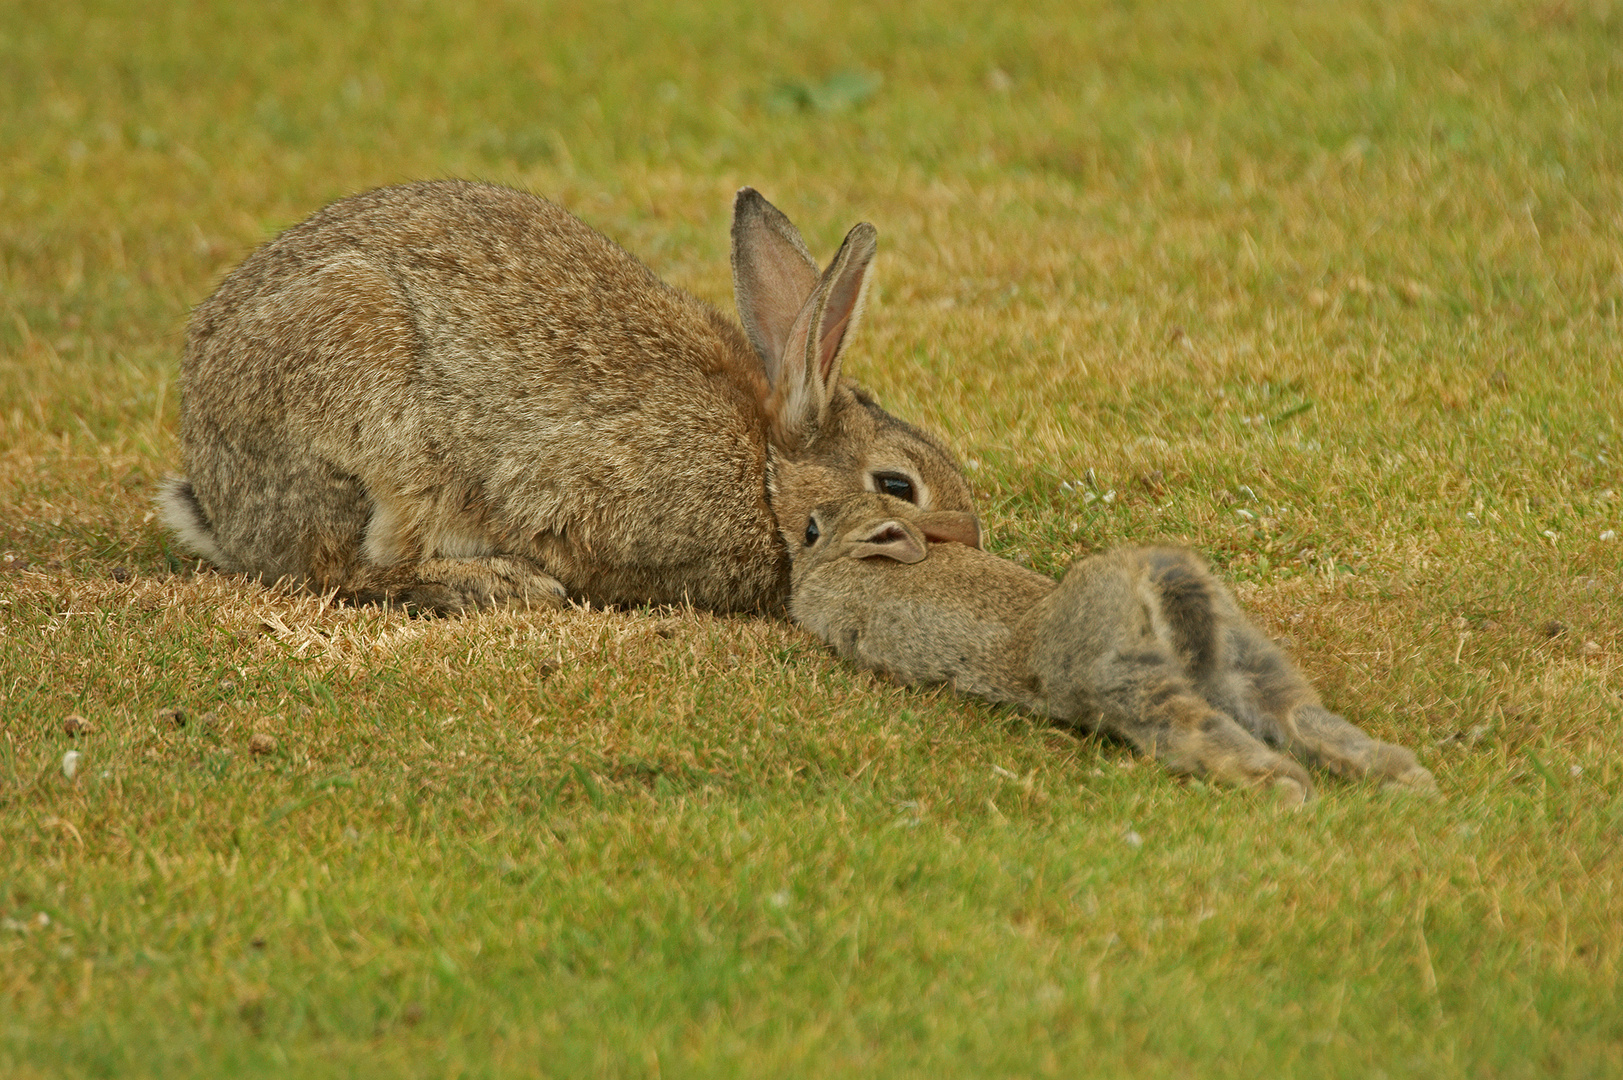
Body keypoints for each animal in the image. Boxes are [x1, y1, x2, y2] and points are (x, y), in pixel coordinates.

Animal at [161, 181, 973, 610]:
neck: (766, 470)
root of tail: (223, 505)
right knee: (344, 569)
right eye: (897, 485)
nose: (971, 544)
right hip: (368, 419)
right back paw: (497, 582)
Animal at [792, 493, 1441, 805]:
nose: (804, 524)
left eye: (811, 530)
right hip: (1241, 658)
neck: (852, 560)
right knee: (1296, 713)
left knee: (1197, 730)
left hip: (1119, 676)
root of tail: (1148, 583)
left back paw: (1282, 790)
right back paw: (1404, 779)